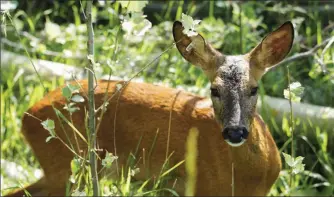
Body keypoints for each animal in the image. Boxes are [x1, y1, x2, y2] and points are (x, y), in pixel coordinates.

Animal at [6, 20, 294, 195]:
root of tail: (27, 115)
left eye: (254, 89)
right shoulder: (199, 187)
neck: (250, 178)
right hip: (68, 165)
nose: (235, 132)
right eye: (214, 90)